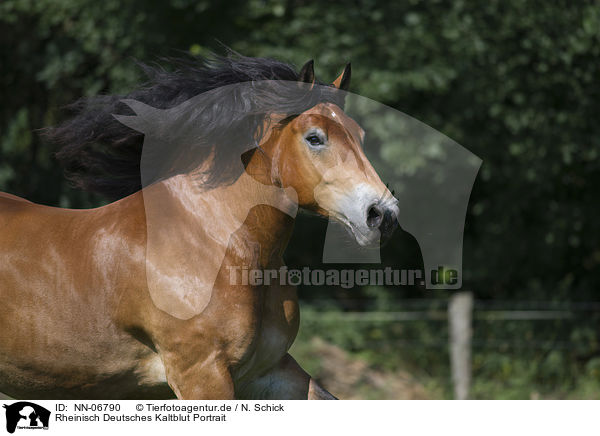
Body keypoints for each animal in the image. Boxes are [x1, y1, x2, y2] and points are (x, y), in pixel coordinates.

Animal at [0, 56, 398, 400]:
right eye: (314, 137)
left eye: (360, 135)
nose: (382, 214)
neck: (218, 244)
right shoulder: (202, 375)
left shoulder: (270, 372)